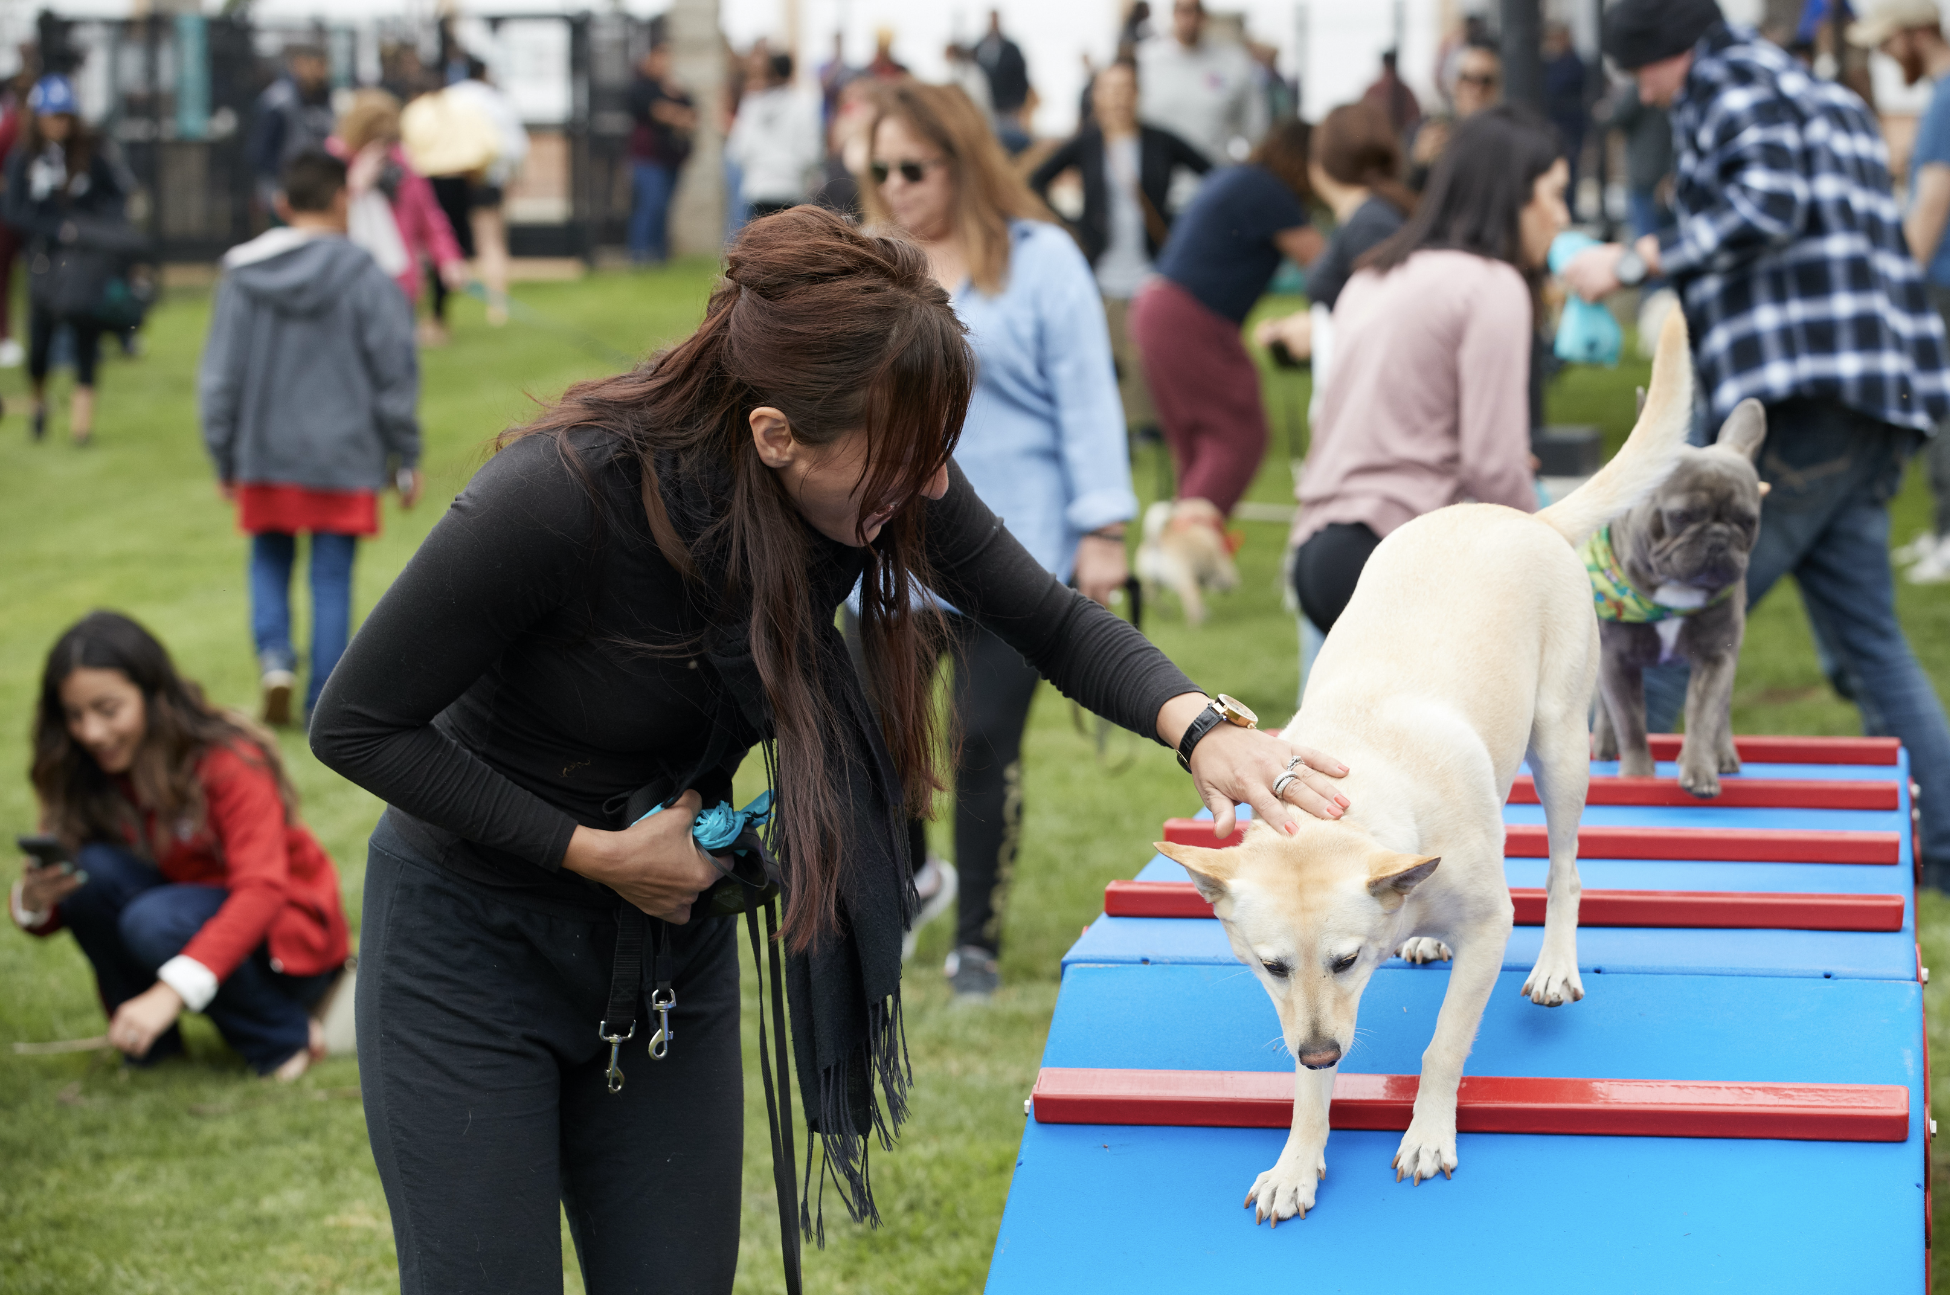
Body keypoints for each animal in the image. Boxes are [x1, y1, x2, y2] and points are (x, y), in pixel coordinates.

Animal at [1153, 311, 1694, 1226]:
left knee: (1565, 866)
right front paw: (1298, 1157)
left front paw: (1428, 1134)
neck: (1359, 783)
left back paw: (1555, 962)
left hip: (1562, 746)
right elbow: (1310, 1087)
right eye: (1270, 966)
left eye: (1345, 960)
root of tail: (1526, 518)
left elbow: (1444, 1046)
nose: (1322, 1048)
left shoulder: (1488, 928)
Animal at [1588, 399, 1766, 797]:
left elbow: (1703, 715)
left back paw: (1723, 754)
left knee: (1722, 711)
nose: (1718, 538)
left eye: (1748, 522)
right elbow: (1630, 720)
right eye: (1681, 516)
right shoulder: (1615, 659)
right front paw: (1637, 775)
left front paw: (1700, 769)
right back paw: (1605, 743)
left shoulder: (1716, 657)